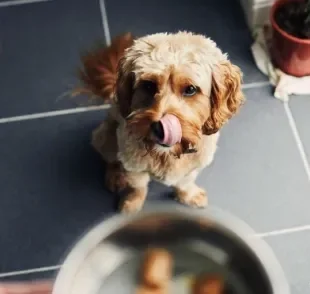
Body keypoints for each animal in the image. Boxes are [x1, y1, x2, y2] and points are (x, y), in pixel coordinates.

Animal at [78, 31, 245, 212]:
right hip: (105, 137)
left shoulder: (195, 165)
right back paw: (115, 175)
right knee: (111, 158)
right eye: (148, 85)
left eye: (190, 89)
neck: (166, 154)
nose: (160, 128)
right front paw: (132, 203)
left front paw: (188, 195)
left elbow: (185, 183)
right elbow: (138, 187)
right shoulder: (133, 165)